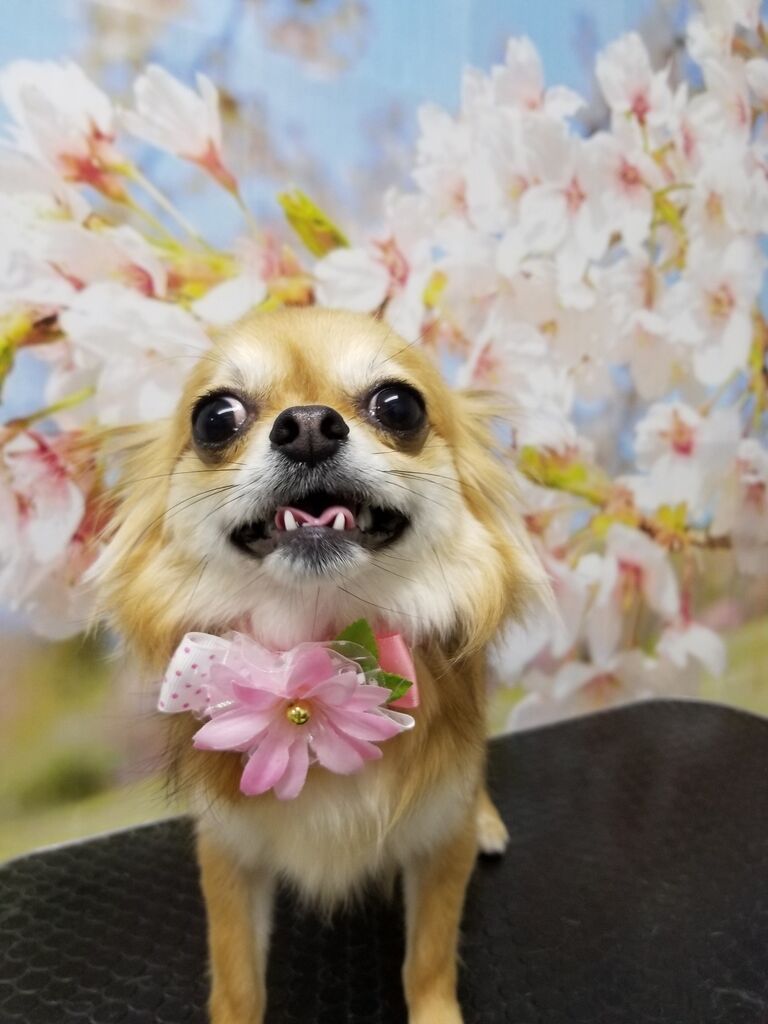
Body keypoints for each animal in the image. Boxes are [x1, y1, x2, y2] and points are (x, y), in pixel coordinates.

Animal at [96, 307, 547, 1024]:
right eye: (215, 418)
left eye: (399, 405)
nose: (307, 424)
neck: (317, 643)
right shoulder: (229, 851)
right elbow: (236, 978)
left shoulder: (437, 840)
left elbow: (429, 960)